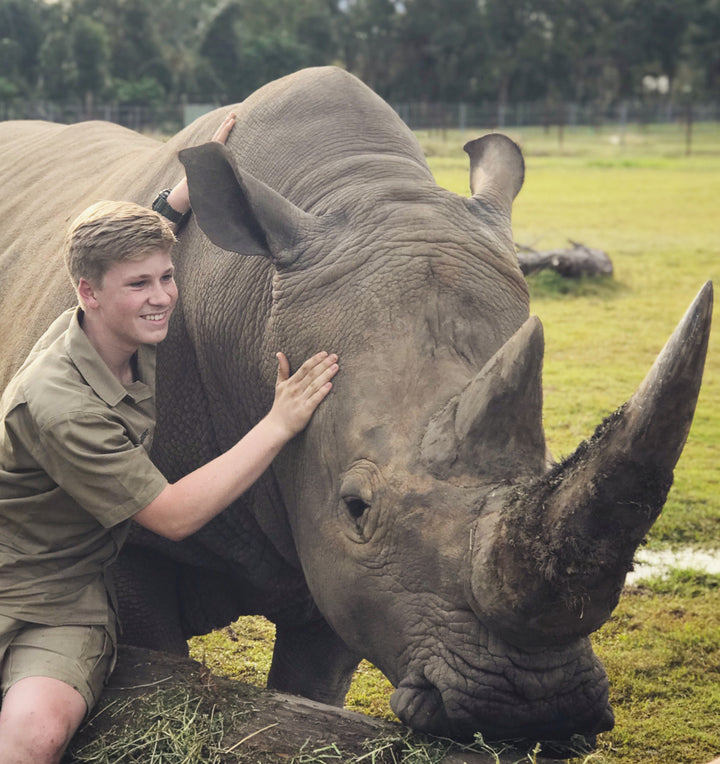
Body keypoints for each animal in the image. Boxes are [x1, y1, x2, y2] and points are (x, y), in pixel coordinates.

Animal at [0, 67, 712, 746]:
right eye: (357, 507)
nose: (533, 707)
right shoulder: (147, 545)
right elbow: (158, 664)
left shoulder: (349, 571)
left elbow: (313, 688)